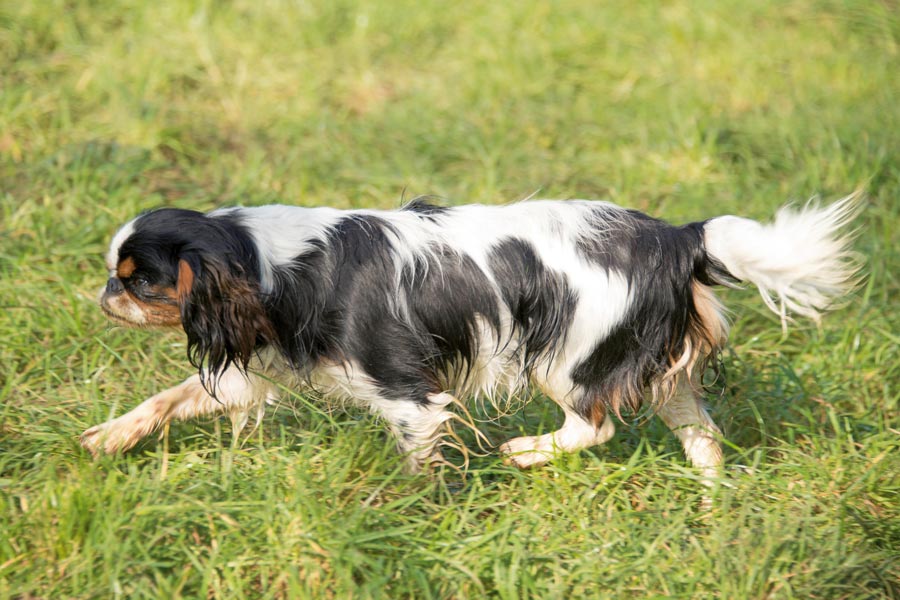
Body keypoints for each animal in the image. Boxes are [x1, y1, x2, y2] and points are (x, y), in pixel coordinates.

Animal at [81, 195, 860, 476]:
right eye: (119, 275)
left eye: (138, 280)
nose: (101, 294)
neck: (273, 262)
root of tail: (677, 236)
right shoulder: (254, 367)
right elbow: (170, 398)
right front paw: (107, 438)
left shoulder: (409, 398)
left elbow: (416, 463)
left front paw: (403, 511)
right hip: (652, 365)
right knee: (703, 434)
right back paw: (709, 501)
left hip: (567, 357)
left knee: (594, 426)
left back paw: (526, 452)